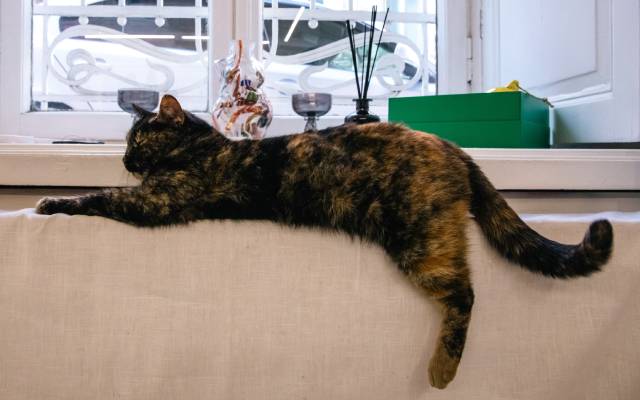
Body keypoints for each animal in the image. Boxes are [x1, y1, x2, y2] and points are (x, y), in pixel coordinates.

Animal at [36, 95, 614, 389]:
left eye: (139, 139)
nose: (124, 159)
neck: (200, 146)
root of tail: (451, 146)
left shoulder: (157, 201)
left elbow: (100, 198)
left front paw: (51, 203)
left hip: (418, 240)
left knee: (465, 295)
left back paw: (442, 370)